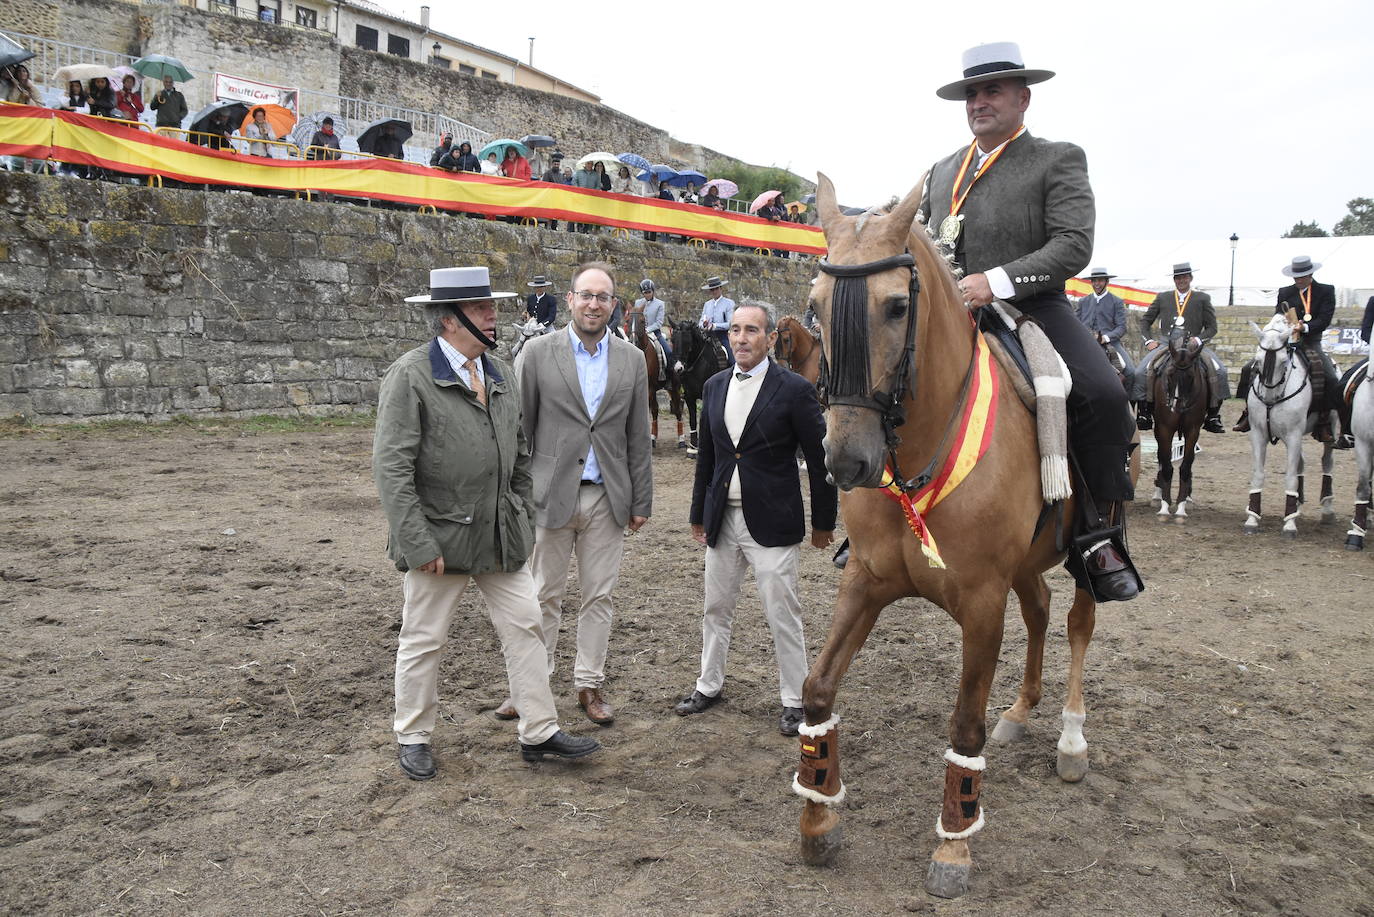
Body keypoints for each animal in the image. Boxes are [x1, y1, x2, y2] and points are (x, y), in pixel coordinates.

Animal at [626, 312, 684, 448]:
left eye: (642, 321)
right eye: (627, 320)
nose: (633, 341)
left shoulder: (649, 388)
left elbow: (653, 410)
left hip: (675, 387)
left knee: (677, 409)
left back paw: (681, 440)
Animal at [796, 175, 1137, 901]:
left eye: (897, 306)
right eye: (815, 307)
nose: (847, 461)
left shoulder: (981, 601)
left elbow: (964, 724)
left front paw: (953, 845)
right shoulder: (866, 582)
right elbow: (817, 687)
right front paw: (817, 816)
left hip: (1086, 552)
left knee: (1076, 624)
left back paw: (1070, 739)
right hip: (1028, 563)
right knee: (1039, 610)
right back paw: (1022, 710)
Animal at [1154, 328, 1209, 522]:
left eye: (1191, 377)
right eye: (1170, 373)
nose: (1177, 408)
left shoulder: (1193, 430)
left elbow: (1186, 465)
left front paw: (1181, 508)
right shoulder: (1164, 428)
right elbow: (1166, 464)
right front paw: (1164, 506)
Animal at [1242, 313, 1335, 538]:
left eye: (1284, 361)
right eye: (1257, 360)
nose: (1268, 398)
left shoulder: (1293, 435)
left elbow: (1291, 477)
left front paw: (1289, 525)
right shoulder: (1258, 434)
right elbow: (1258, 475)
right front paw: (1252, 519)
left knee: (1327, 463)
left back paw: (1327, 511)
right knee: (1301, 464)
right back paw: (1297, 506)